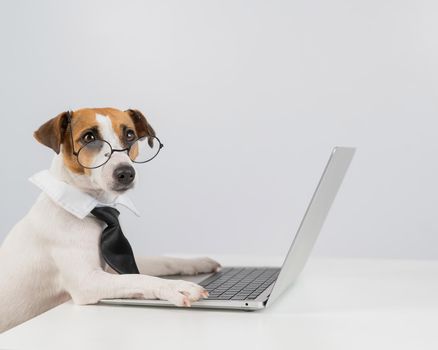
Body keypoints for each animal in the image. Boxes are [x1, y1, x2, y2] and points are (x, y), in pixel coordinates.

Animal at [0, 108, 219, 332]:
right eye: (89, 137)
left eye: (130, 134)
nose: (126, 173)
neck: (94, 207)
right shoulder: (88, 281)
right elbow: (139, 278)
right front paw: (177, 287)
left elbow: (161, 262)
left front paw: (195, 262)